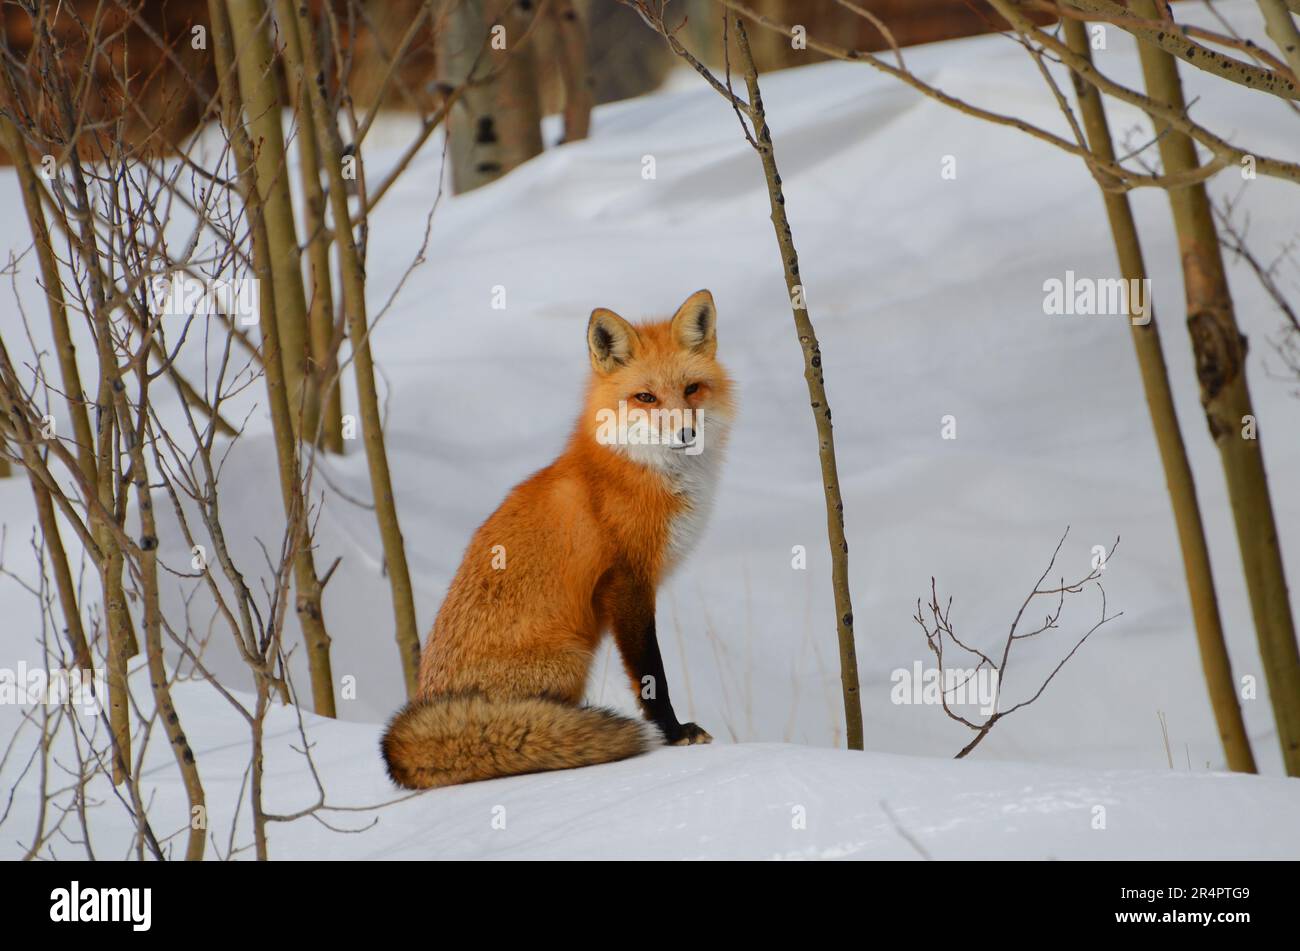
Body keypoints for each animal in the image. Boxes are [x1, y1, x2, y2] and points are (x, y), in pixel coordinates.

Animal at [380, 289, 735, 790]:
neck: (637, 470)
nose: (687, 432)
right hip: (571, 658)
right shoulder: (627, 582)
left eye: (692, 390)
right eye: (645, 397)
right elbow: (652, 675)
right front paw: (673, 732)